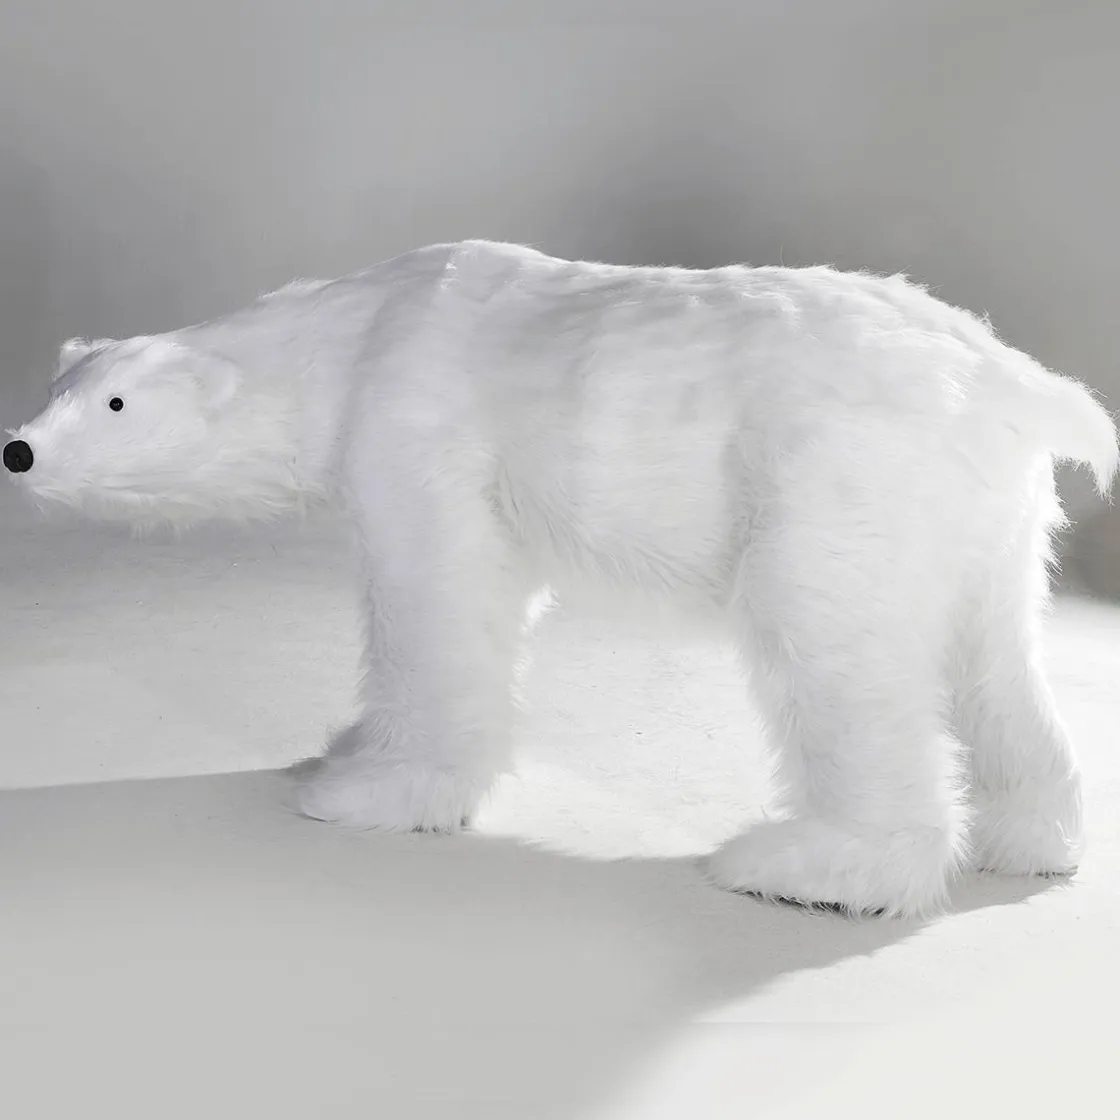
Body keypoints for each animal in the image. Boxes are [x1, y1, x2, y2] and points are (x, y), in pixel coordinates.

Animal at [5, 239, 1116, 917]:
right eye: (58, 386)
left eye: (114, 404)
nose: (17, 449)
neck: (354, 333)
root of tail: (1011, 378)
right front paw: (345, 745)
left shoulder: (415, 426)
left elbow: (439, 594)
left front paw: (371, 787)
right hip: (982, 509)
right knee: (991, 652)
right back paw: (1033, 840)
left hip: (840, 465)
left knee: (829, 635)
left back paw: (811, 863)